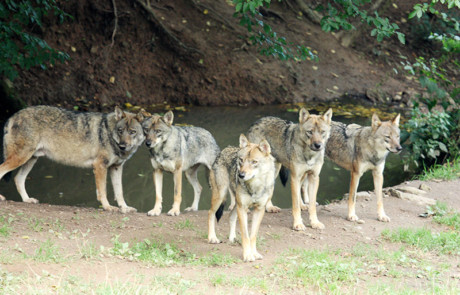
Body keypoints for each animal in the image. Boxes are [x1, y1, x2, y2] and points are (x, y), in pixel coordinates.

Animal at [0, 106, 145, 213]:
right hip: (21, 158)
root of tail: (12, 116)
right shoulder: (100, 166)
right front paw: (107, 207)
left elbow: (119, 192)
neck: (108, 132)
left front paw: (125, 208)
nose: (123, 145)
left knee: (18, 179)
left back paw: (27, 200)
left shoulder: (116, 168)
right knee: (3, 170)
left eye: (132, 132)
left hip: (30, 159)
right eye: (120, 131)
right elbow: (102, 191)